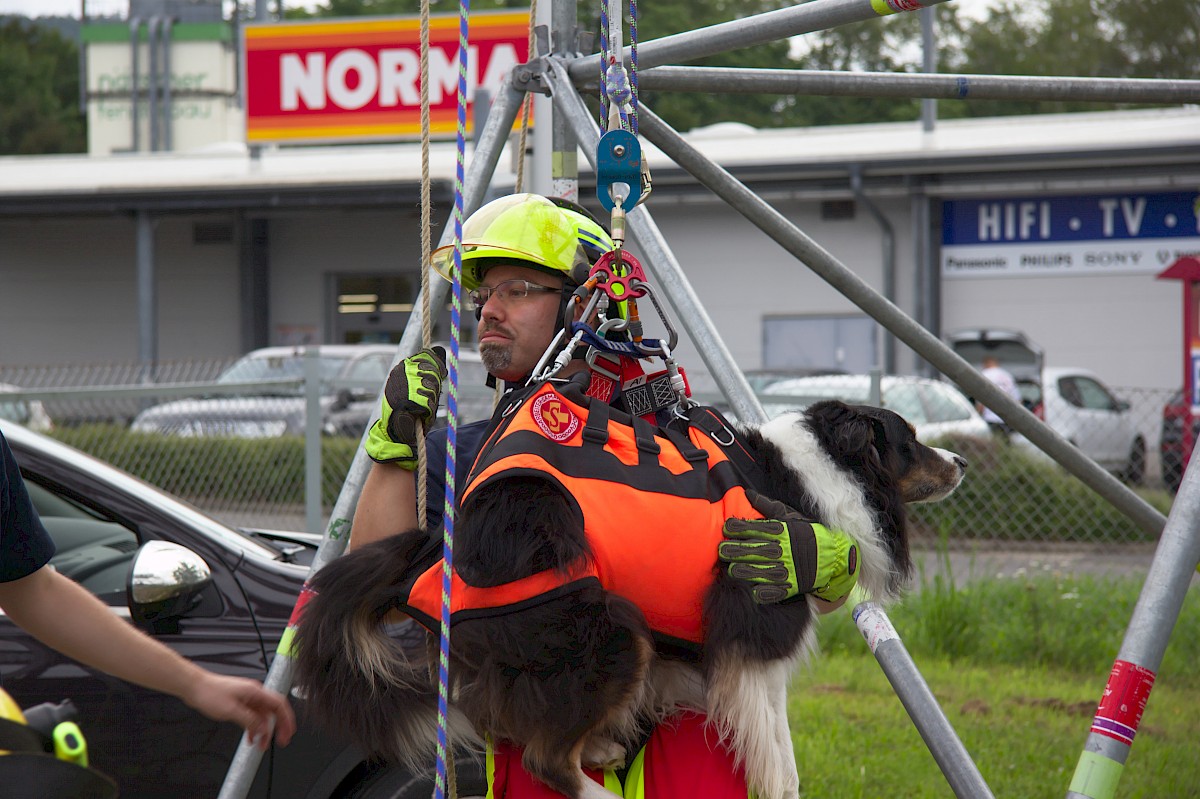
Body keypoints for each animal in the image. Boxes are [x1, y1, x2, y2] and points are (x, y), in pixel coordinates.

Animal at [290, 388, 964, 796]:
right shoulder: (756, 647)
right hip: (605, 627)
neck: (808, 478)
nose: (960, 460)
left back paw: (605, 744)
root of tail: (442, 545)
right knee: (542, 757)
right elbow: (779, 756)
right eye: (909, 439)